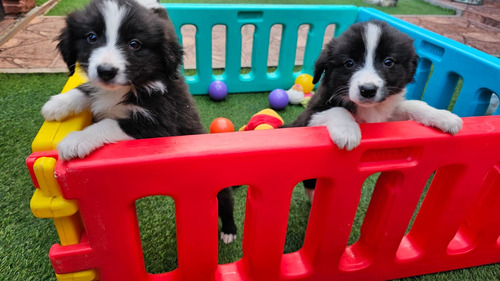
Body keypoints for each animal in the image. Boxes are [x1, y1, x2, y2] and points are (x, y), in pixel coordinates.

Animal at [40, 0, 235, 242]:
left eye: (135, 44)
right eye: (91, 37)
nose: (106, 71)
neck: (125, 88)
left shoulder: (159, 123)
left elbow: (109, 123)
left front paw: (75, 140)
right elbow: (86, 91)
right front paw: (57, 104)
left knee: (225, 199)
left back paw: (229, 231)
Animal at [288, 19, 462, 199]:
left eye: (388, 62)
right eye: (349, 63)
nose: (367, 90)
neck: (370, 108)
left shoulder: (388, 115)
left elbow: (412, 104)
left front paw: (443, 116)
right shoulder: (310, 115)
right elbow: (338, 110)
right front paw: (347, 131)